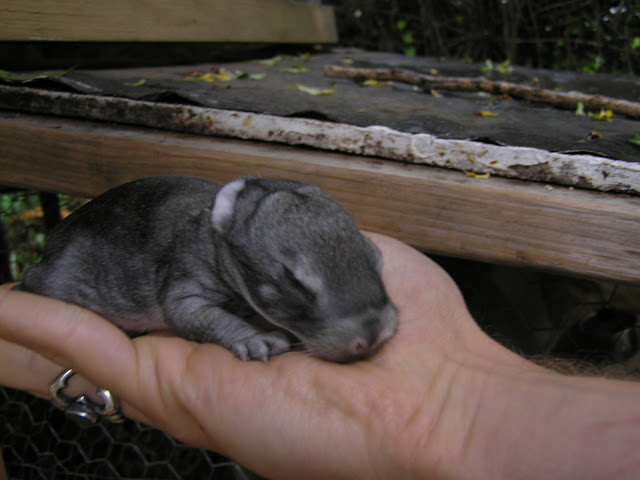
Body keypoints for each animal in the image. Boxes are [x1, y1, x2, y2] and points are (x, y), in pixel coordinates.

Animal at [17, 177, 398, 364]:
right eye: (295, 283)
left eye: (376, 259)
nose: (373, 336)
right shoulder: (185, 281)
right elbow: (195, 314)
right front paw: (256, 340)